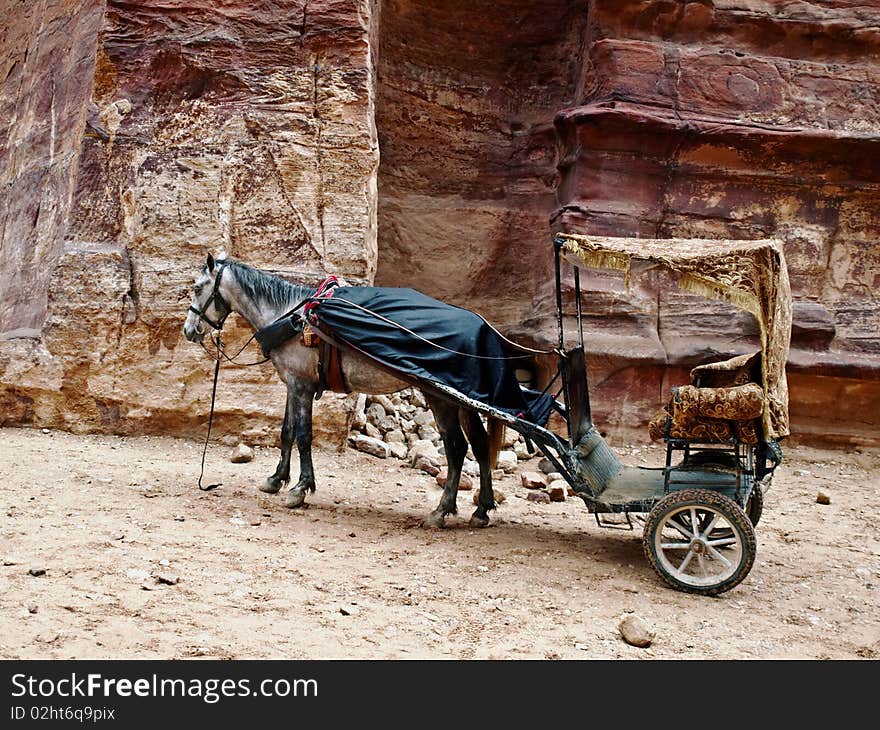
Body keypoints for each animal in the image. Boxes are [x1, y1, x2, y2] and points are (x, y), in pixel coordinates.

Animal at [182, 253, 506, 528]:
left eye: (197, 288)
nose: (188, 330)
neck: (290, 317)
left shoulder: (301, 386)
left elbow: (303, 435)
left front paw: (300, 488)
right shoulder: (292, 384)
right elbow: (286, 432)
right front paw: (276, 479)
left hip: (441, 398)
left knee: (457, 448)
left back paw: (441, 510)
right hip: (463, 400)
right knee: (479, 445)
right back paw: (481, 510)